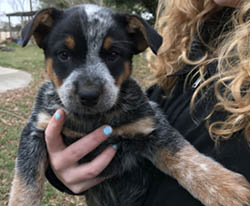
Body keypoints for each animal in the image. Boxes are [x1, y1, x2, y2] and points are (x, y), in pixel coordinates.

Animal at [8, 3, 250, 206]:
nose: (89, 94)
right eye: (63, 54)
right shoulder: (37, 129)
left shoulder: (150, 125)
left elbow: (187, 158)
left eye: (114, 54)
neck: (92, 121)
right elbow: (26, 183)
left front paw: (227, 188)